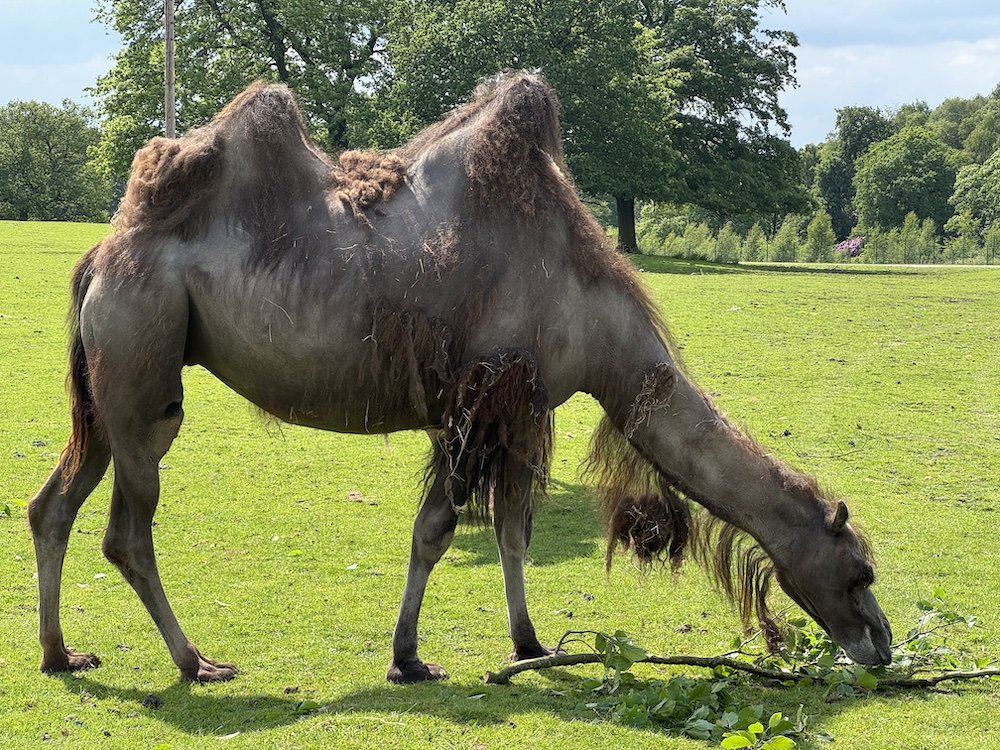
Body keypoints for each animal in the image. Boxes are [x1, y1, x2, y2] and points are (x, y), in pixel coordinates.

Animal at [27, 72, 891, 684]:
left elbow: (511, 531)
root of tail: (100, 256)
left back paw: (62, 654)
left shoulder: (520, 406)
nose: (880, 644)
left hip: (111, 386)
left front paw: (531, 644)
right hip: (143, 362)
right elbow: (438, 531)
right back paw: (196, 662)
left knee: (53, 505)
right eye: (859, 571)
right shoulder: (484, 393)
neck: (593, 314)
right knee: (126, 531)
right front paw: (408, 658)